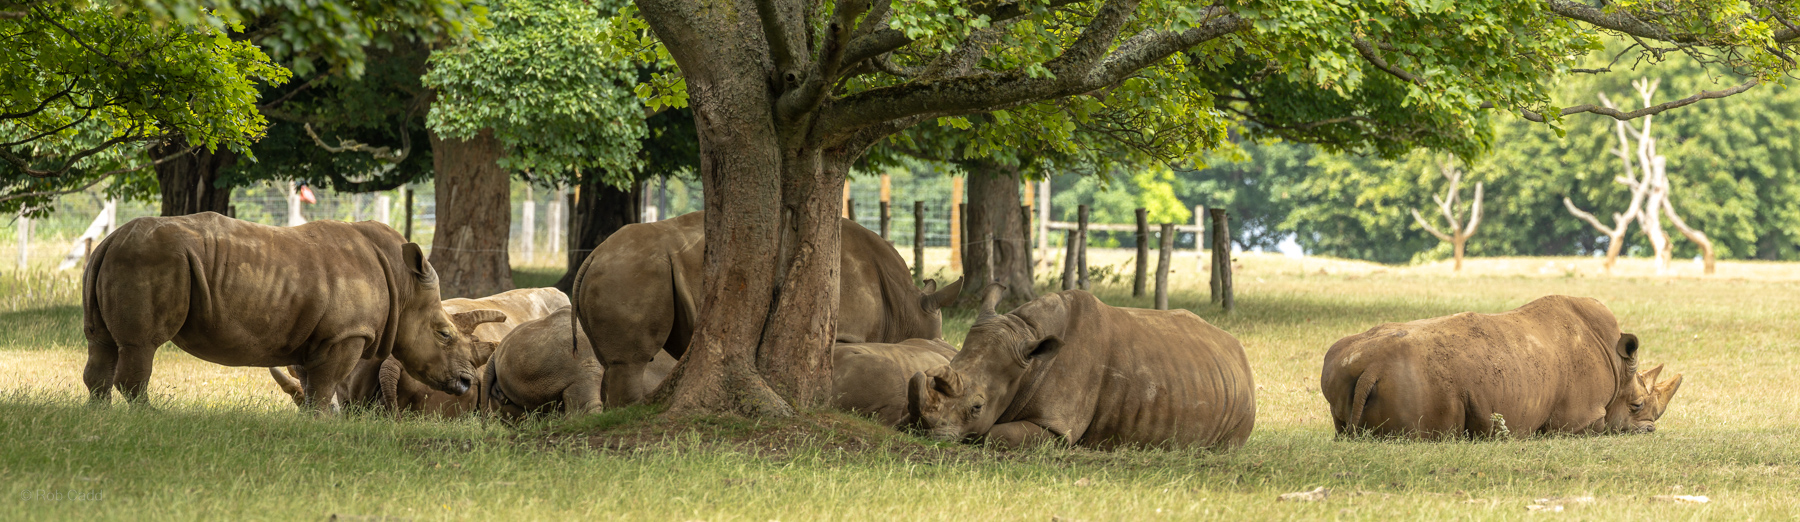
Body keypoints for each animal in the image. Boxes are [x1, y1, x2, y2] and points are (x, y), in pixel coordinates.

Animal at [82, 212, 496, 412]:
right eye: (444, 334)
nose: (467, 382)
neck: (405, 286)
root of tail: (111, 238)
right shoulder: (346, 334)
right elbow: (326, 386)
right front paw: (324, 427)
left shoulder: (319, 337)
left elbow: (314, 387)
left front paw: (317, 425)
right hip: (151, 258)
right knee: (142, 345)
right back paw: (149, 418)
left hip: (117, 257)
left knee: (101, 344)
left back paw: (98, 416)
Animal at [573, 211, 960, 407]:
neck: (906, 304)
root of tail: (593, 257)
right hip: (631, 272)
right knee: (631, 362)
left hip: (621, 270)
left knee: (612, 362)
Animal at [1321, 295, 1684, 439]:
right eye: (1636, 405)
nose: (1650, 431)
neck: (1618, 367)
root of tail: (1372, 368)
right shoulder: (1578, 420)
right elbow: (1599, 425)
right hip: (1419, 382)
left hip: (1340, 361)